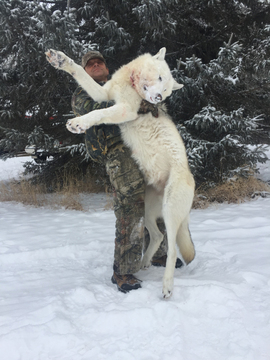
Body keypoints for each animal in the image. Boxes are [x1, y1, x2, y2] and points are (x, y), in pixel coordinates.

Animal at [45, 46, 195, 296]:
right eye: (160, 79)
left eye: (166, 91)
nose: (158, 98)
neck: (131, 86)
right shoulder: (102, 95)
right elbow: (79, 73)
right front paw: (59, 59)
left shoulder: (125, 109)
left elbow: (97, 115)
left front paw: (78, 124)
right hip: (145, 208)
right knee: (157, 236)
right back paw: (142, 264)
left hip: (169, 210)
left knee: (173, 249)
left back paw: (166, 287)